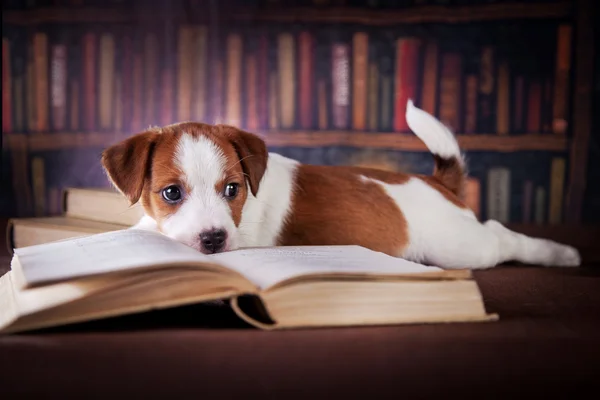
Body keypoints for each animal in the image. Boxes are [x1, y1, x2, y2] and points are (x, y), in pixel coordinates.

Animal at [101, 100, 580, 270]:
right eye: (172, 193)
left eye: (232, 190)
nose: (215, 240)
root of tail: (436, 182)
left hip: (461, 248)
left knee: (500, 237)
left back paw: (560, 254)